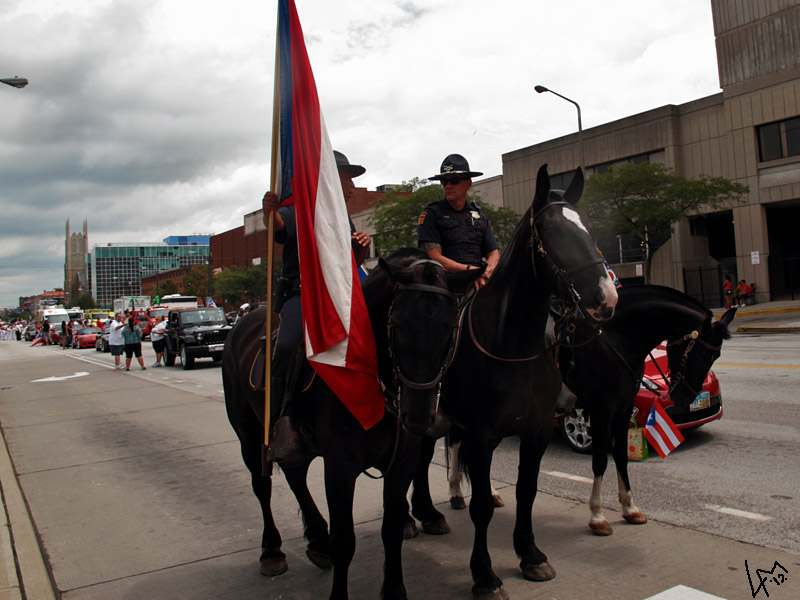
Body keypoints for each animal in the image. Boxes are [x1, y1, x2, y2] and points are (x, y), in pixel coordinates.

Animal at [222, 250, 478, 600]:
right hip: (248, 434)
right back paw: (272, 551)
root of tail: (241, 324)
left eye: (452, 325)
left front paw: (394, 590)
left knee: (295, 474)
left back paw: (317, 541)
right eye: (397, 324)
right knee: (263, 485)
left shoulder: (402, 462)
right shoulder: (340, 466)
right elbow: (344, 541)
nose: (418, 417)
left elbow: (391, 528)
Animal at [400, 165, 620, 600]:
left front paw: (530, 555)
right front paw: (484, 575)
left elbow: (526, 491)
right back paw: (408, 519)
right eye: (552, 233)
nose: (606, 298)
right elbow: (481, 504)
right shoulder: (480, 434)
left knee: (421, 458)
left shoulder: (535, 430)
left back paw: (429, 514)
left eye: (588, 228)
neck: (512, 341)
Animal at [556, 284, 736, 536]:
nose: (687, 396)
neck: (618, 338)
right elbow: (600, 459)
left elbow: (621, 455)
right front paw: (597, 515)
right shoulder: (601, 408)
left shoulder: (623, 407)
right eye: (702, 354)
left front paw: (630, 507)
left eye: (716, 355)